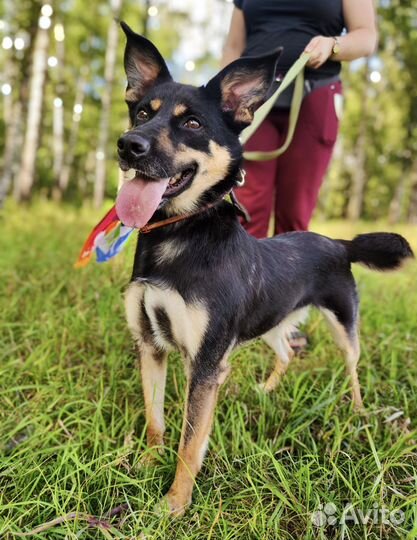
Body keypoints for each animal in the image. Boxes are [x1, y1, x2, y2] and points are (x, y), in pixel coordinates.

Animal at [114, 24, 412, 516]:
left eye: (192, 123)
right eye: (141, 113)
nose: (128, 144)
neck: (178, 235)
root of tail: (337, 242)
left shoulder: (206, 364)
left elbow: (190, 442)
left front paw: (174, 503)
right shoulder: (150, 345)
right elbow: (155, 419)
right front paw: (145, 462)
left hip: (343, 322)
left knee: (353, 367)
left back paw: (356, 411)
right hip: (272, 321)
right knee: (287, 352)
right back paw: (266, 391)